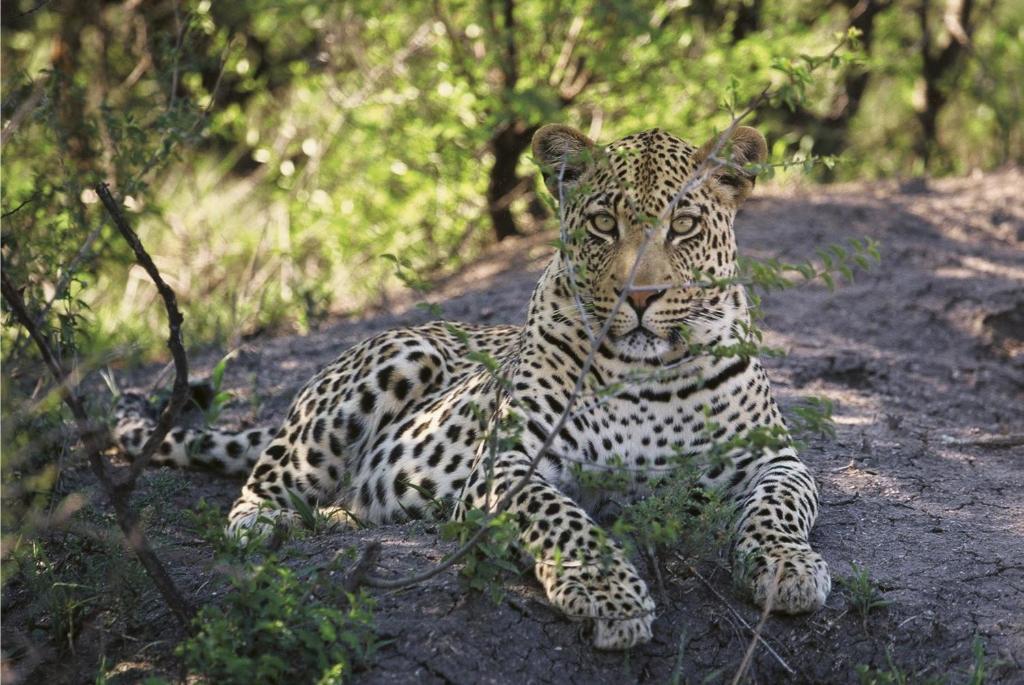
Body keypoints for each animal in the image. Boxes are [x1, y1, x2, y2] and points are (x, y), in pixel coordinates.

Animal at [115, 123, 831, 650]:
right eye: (604, 224)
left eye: (683, 226)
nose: (640, 296)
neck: (649, 373)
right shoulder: (508, 464)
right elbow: (566, 520)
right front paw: (610, 595)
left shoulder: (774, 458)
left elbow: (778, 507)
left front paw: (788, 567)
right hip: (393, 362)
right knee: (262, 483)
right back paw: (269, 524)